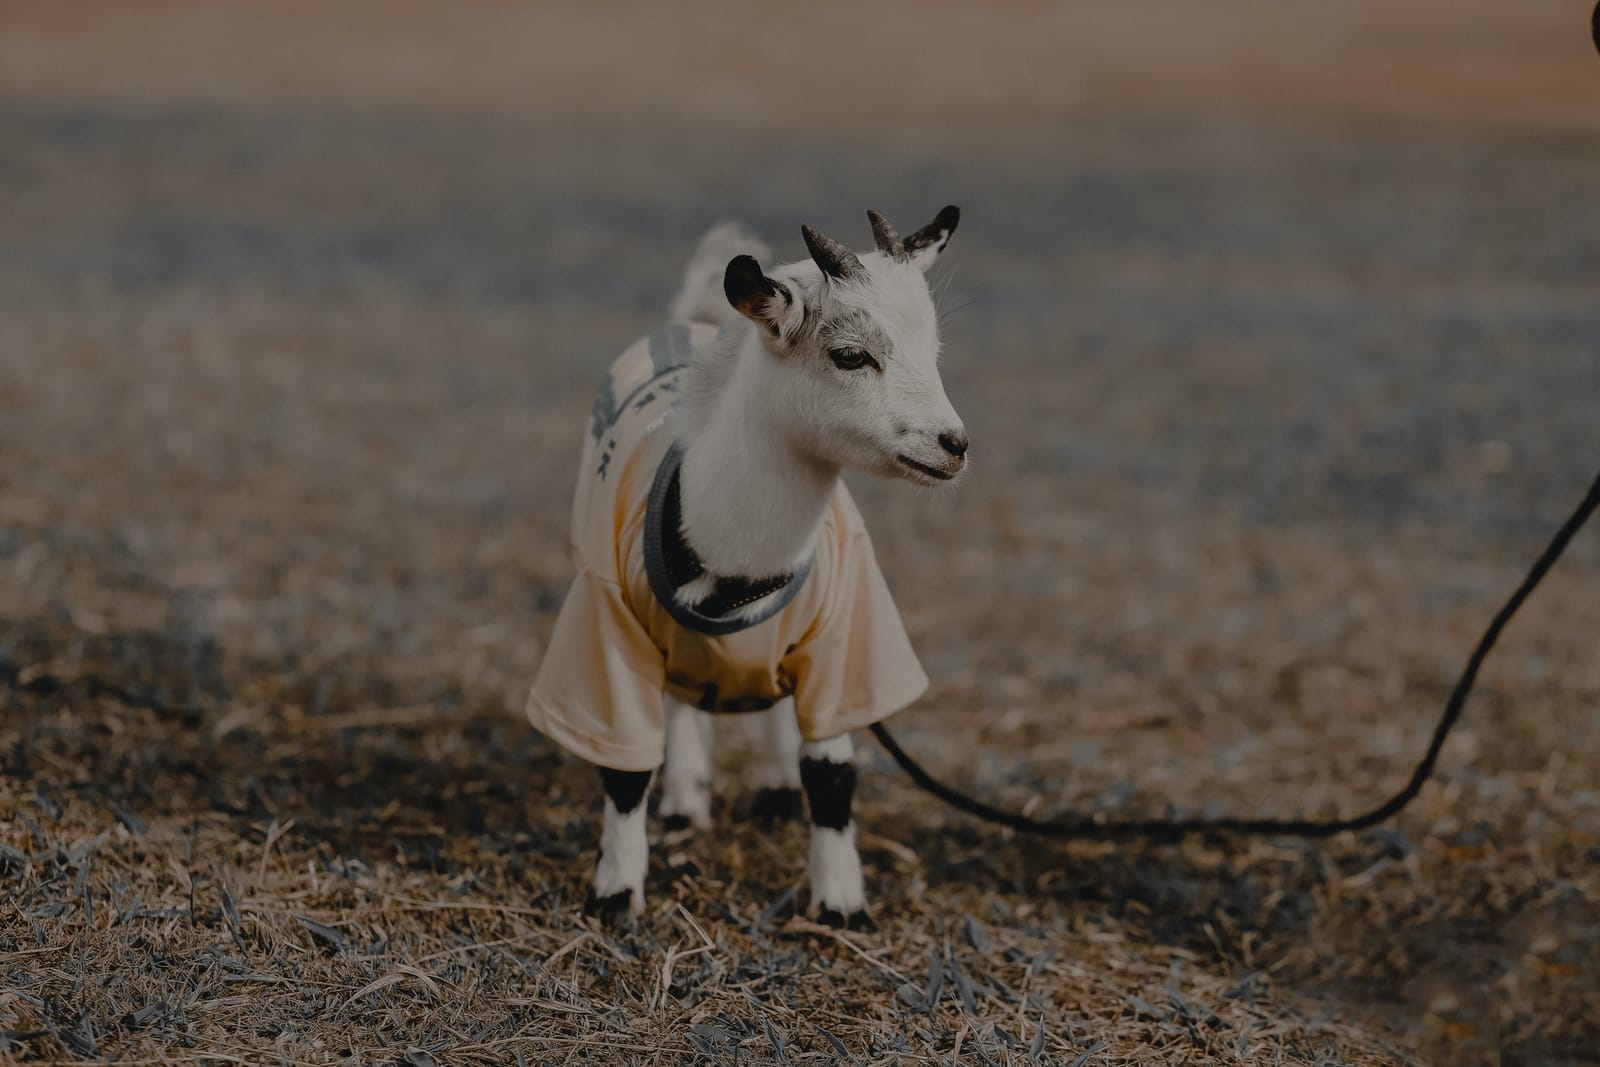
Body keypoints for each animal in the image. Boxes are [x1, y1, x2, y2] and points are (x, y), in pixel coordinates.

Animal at [527, 207, 966, 926]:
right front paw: (615, 895)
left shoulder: (846, 634)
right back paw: (684, 801)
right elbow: (625, 769)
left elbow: (833, 772)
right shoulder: (606, 624)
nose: (953, 445)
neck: (734, 557)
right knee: (682, 699)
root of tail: (700, 316)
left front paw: (841, 905)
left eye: (933, 351)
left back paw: (775, 788)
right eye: (851, 355)